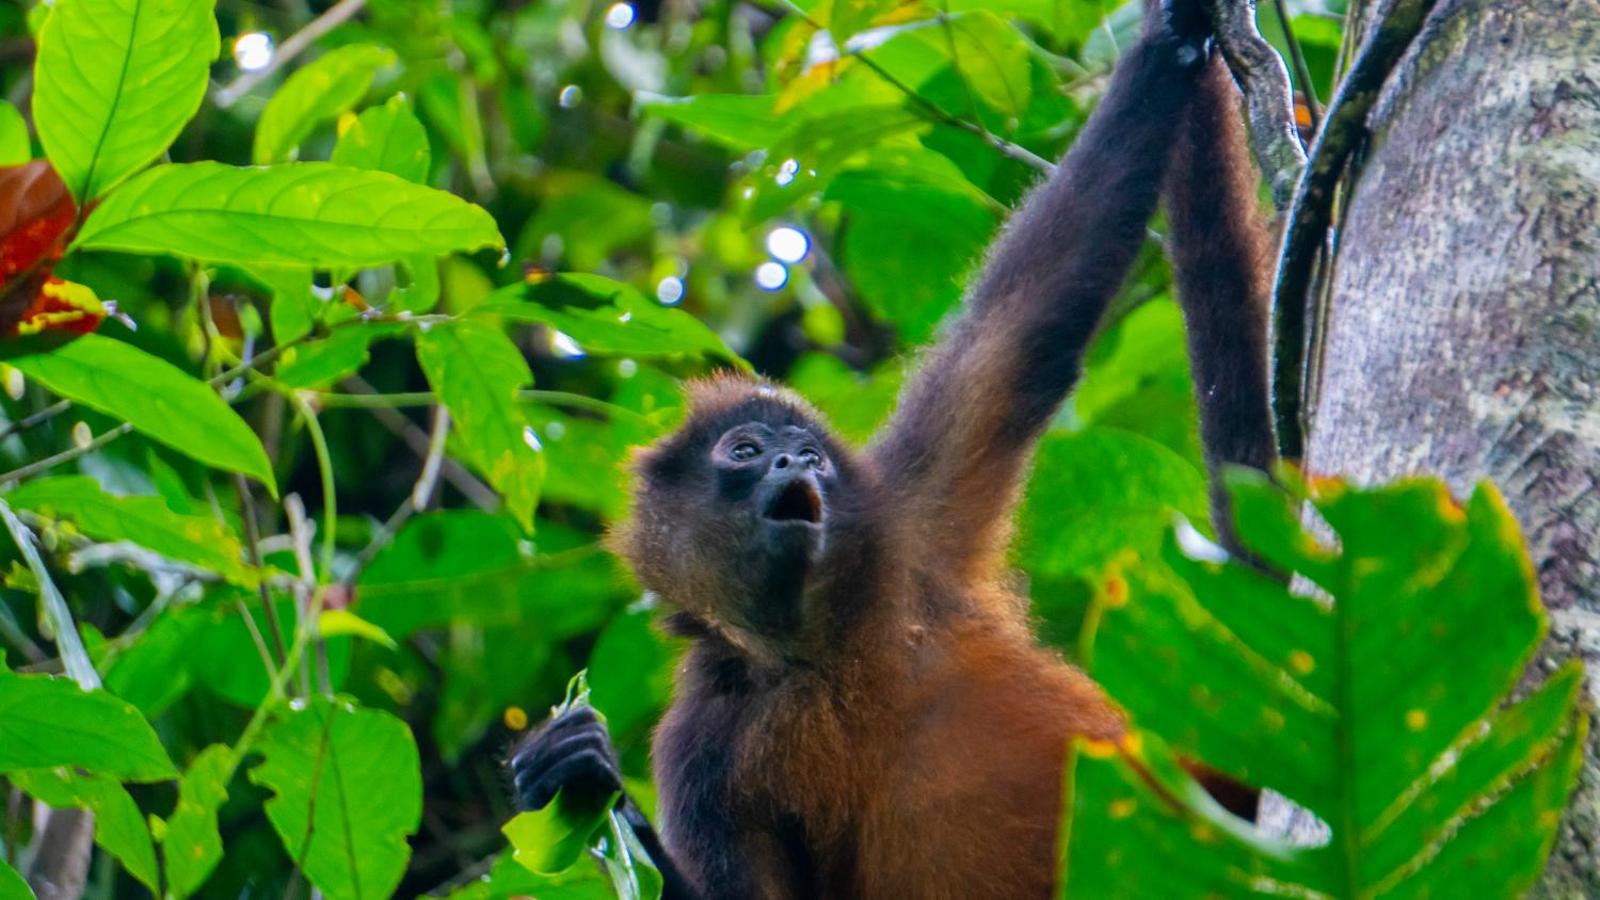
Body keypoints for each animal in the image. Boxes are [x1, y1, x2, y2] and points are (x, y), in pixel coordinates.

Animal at [512, 0, 1273, 890]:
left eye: (808, 453)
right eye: (744, 451)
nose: (793, 462)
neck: (815, 650)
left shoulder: (908, 525)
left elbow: (1023, 328)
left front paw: (1171, 37)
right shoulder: (702, 747)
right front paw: (577, 772)